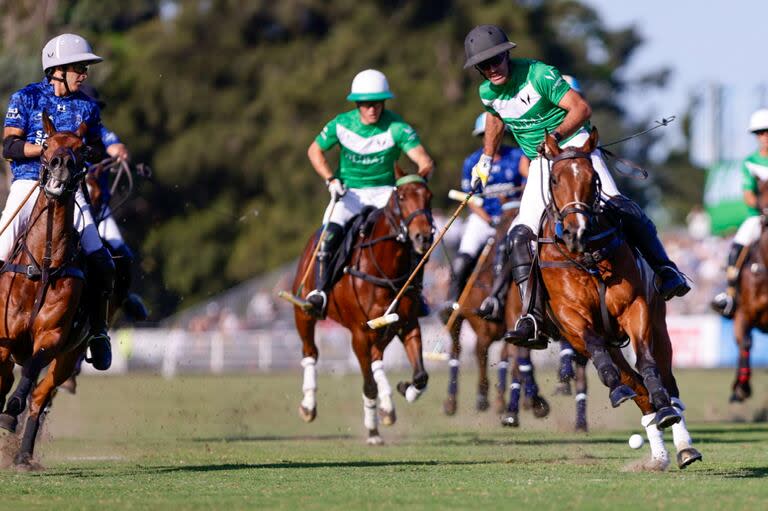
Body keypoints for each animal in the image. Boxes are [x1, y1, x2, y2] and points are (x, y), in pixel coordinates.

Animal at [0, 112, 91, 468]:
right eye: (46, 145)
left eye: (82, 148)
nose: (60, 164)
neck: (42, 263)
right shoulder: (3, 337)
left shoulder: (51, 336)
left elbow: (30, 373)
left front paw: (11, 413)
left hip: (70, 357)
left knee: (40, 397)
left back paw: (24, 455)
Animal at [292, 167, 432, 444]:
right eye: (401, 196)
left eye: (429, 197)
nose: (423, 237)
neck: (386, 267)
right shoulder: (359, 333)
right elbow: (368, 385)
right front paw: (373, 431)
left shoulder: (408, 324)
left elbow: (421, 375)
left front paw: (406, 390)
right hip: (304, 313)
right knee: (310, 352)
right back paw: (308, 406)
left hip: (384, 329)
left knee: (377, 359)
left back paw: (387, 407)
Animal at [536, 130, 704, 470]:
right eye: (556, 179)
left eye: (592, 177)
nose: (576, 232)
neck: (586, 257)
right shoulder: (572, 317)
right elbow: (603, 355)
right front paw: (616, 387)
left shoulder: (634, 307)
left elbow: (648, 363)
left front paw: (664, 407)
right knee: (633, 385)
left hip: (659, 324)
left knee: (665, 378)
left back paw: (680, 438)